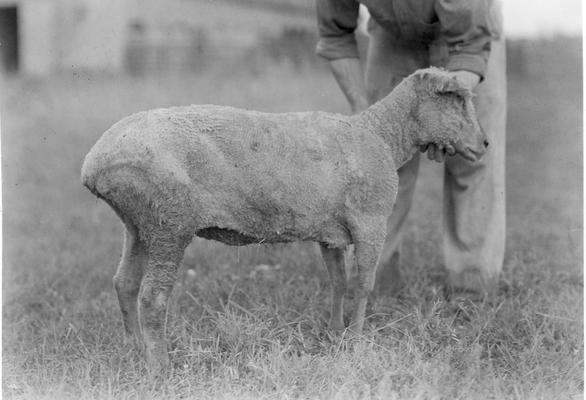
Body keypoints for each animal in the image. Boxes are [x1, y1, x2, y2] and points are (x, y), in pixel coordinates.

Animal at [80, 67, 486, 374]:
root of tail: (95, 164)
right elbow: (362, 285)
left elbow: (338, 283)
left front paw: (335, 335)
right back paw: (161, 368)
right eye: (456, 99)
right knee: (152, 297)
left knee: (125, 284)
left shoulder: (330, 234)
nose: (484, 145)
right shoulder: (371, 221)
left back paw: (135, 351)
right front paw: (357, 343)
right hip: (169, 222)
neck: (383, 135)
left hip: (137, 224)